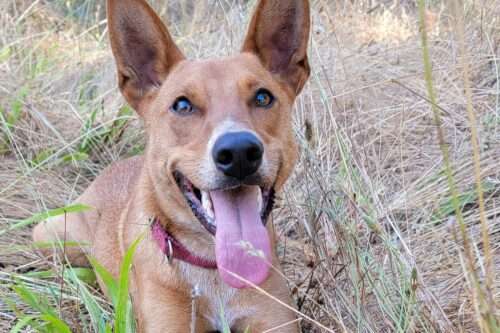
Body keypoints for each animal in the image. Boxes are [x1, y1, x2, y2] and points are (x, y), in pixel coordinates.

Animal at [32, 0, 308, 330]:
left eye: (263, 97)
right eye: (182, 105)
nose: (239, 152)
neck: (213, 265)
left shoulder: (274, 320)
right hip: (51, 237)